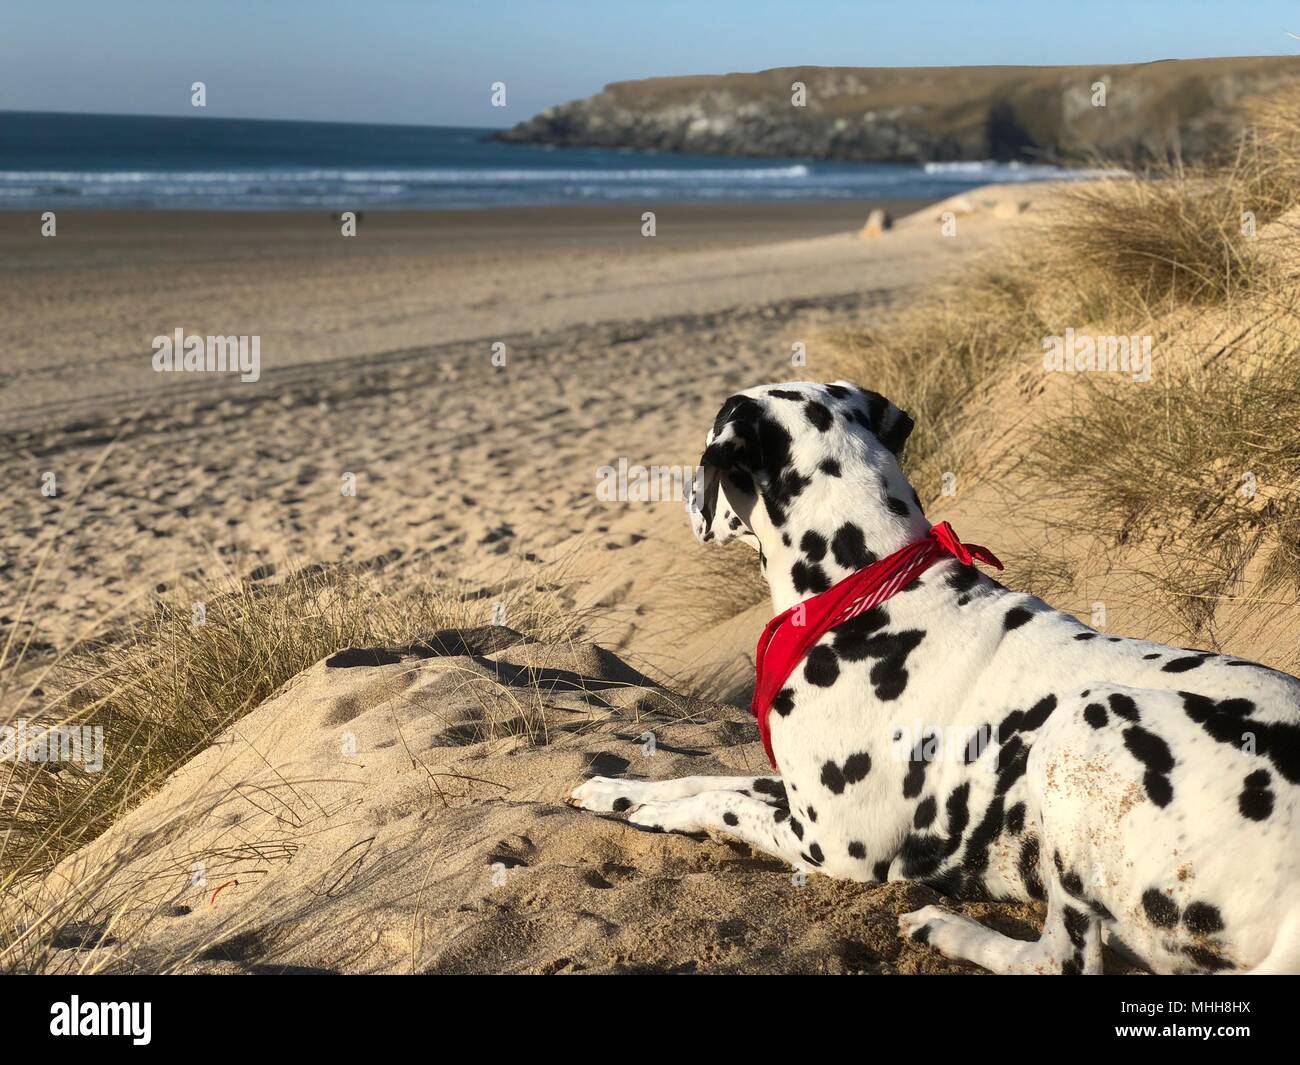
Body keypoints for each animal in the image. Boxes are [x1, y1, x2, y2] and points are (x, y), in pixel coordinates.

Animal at [574, 382, 1300, 972]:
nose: (677, 499)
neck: (866, 586)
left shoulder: (832, 846)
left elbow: (716, 804)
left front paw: (653, 809)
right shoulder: (797, 792)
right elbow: (702, 777)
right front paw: (615, 791)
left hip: (1076, 729)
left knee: (1061, 960)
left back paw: (947, 928)